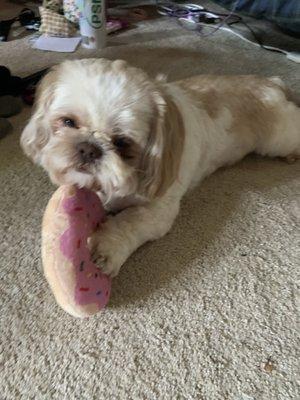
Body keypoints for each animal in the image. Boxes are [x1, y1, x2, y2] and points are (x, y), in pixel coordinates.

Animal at [21, 58, 300, 276]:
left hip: (278, 138)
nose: (89, 148)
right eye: (68, 122)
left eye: (122, 142)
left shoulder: (159, 211)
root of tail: (273, 83)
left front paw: (107, 248)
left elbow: (130, 221)